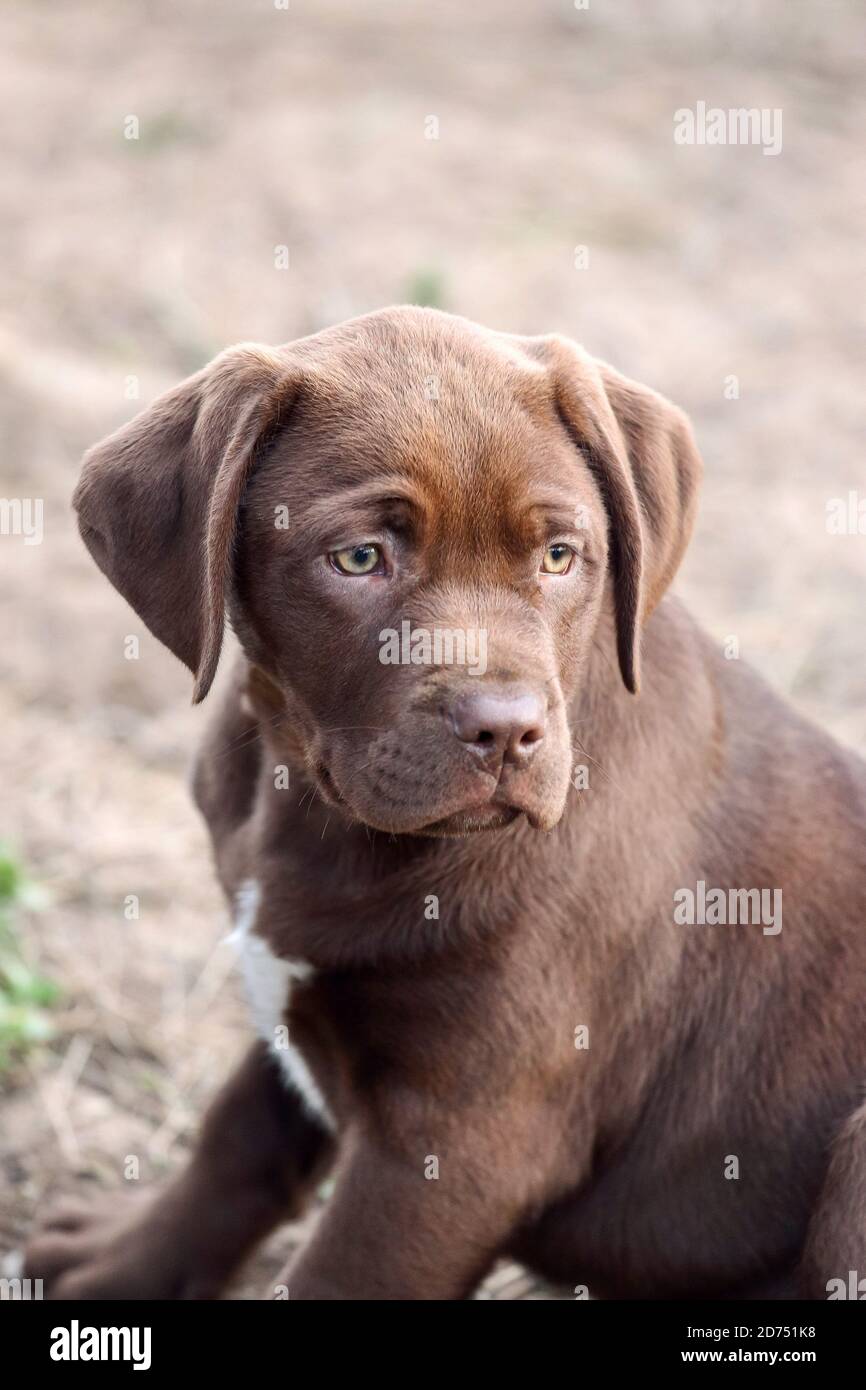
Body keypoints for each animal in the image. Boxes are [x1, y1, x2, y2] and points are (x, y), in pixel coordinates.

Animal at [25, 307, 866, 1301]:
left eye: (558, 557)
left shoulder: (462, 1142)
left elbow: (334, 1274)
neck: (311, 800)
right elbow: (240, 1129)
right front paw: (124, 1263)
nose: (506, 732)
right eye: (359, 558)